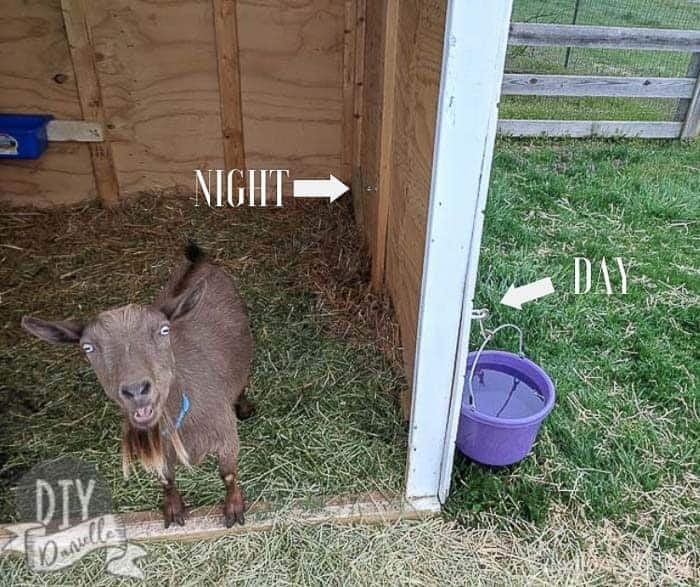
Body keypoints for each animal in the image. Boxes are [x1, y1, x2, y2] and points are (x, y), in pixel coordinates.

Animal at [21, 243, 254, 528]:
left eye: (164, 330)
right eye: (88, 347)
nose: (136, 390)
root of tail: (199, 262)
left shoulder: (225, 432)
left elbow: (228, 473)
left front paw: (233, 509)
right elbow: (166, 479)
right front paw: (173, 509)